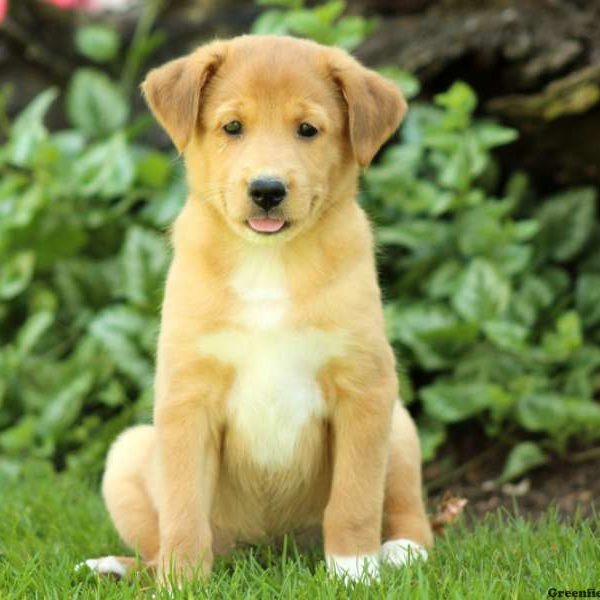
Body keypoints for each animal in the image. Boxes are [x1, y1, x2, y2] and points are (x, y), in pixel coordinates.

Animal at [89, 34, 434, 584]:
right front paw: (181, 582)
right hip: (128, 452)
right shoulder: (187, 397)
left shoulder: (364, 387)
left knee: (408, 508)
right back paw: (121, 567)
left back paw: (401, 550)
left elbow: (355, 498)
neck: (268, 262)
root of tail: (271, 550)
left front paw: (354, 569)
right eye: (232, 126)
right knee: (158, 542)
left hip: (398, 422)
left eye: (307, 129)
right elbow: (183, 510)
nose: (267, 190)